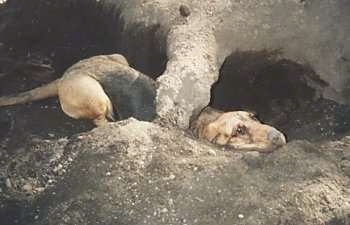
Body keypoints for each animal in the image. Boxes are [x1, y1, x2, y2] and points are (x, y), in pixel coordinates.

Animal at [0, 53, 288, 152]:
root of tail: (67, 73)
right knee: (99, 120)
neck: (201, 120)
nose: (278, 136)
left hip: (120, 57)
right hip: (94, 95)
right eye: (239, 130)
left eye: (255, 117)